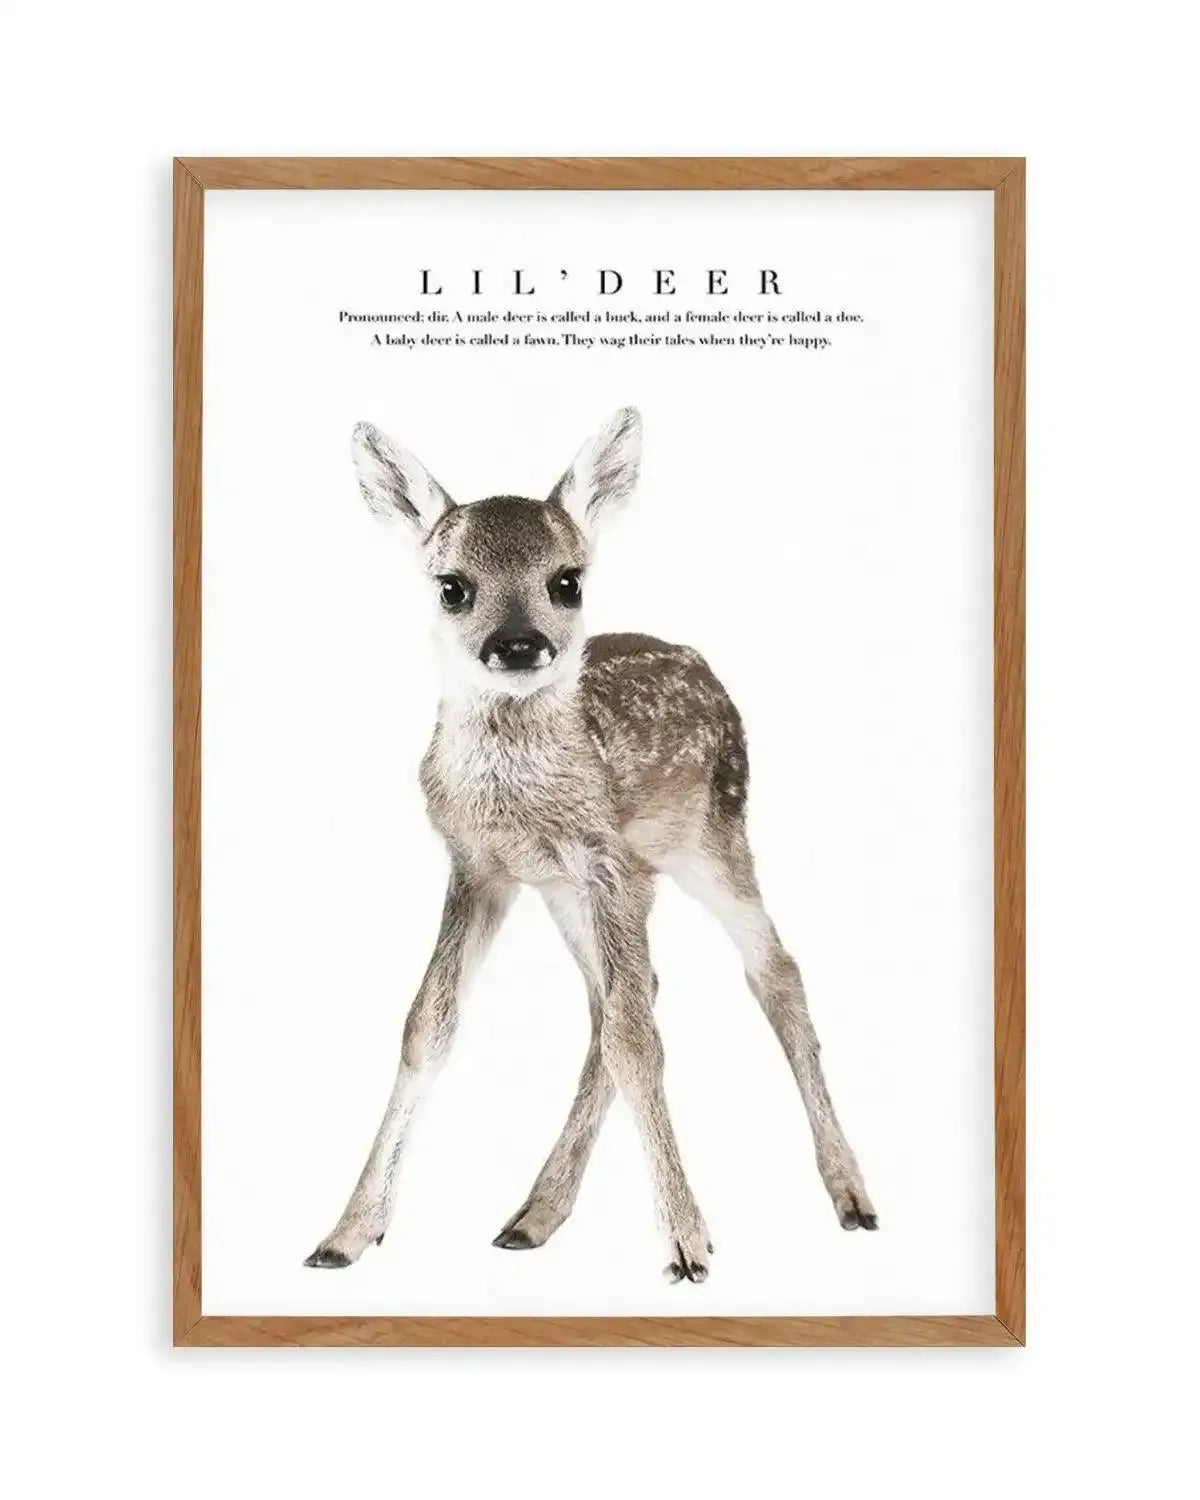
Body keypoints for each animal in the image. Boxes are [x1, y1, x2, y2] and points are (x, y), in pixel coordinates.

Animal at [304, 408, 876, 1284]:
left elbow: (638, 1040)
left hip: (711, 837)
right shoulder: (482, 867)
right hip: (585, 890)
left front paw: (687, 1244)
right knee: (624, 997)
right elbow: (428, 1024)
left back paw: (850, 1195)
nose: (518, 645)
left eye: (567, 580)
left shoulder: (603, 858)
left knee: (770, 970)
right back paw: (534, 1215)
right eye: (452, 585)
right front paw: (347, 1231)